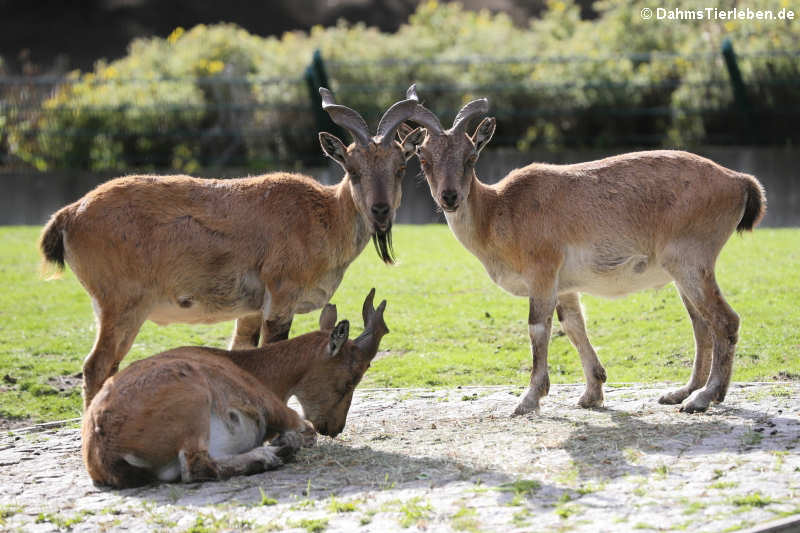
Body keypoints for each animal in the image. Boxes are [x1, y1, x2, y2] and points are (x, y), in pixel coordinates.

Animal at [39, 89, 422, 407]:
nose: (380, 211)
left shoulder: (250, 311)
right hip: (122, 306)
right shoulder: (280, 298)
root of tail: (70, 213)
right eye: (352, 168)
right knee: (96, 366)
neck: (322, 215)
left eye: (401, 166)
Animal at [82, 289, 389, 488]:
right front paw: (282, 443)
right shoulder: (273, 407)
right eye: (351, 379)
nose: (334, 427)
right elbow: (305, 431)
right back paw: (269, 456)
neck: (257, 371)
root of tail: (104, 450)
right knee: (196, 467)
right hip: (192, 404)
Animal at [405, 85, 766, 415]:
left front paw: (528, 400)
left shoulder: (542, 273)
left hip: (690, 261)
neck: (499, 211)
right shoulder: (565, 286)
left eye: (471, 157)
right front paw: (591, 394)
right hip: (682, 271)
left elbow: (538, 328)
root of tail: (738, 180)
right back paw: (682, 392)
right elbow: (574, 326)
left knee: (725, 321)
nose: (450, 197)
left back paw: (704, 397)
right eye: (423, 158)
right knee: (701, 325)